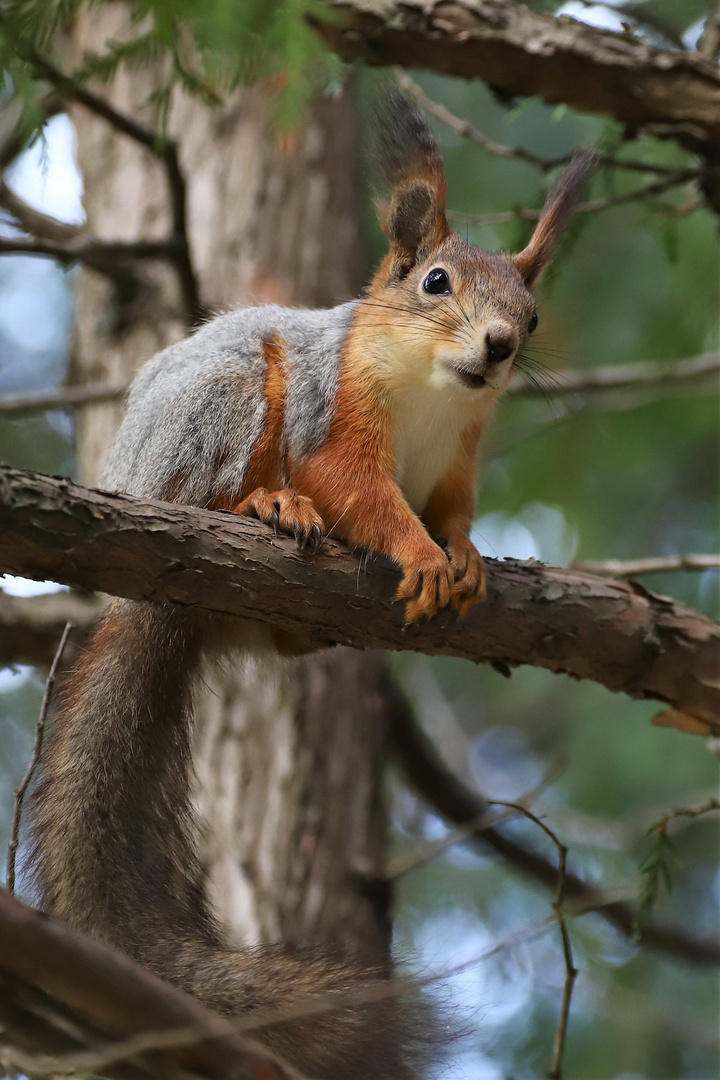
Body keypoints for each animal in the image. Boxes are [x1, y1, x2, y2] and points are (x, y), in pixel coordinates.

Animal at [28, 95, 595, 1080]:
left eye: (529, 313)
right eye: (435, 282)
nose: (497, 347)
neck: (433, 395)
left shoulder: (460, 458)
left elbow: (454, 513)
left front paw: (467, 557)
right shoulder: (339, 421)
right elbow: (357, 489)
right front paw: (416, 553)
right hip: (223, 402)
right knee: (221, 481)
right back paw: (268, 505)